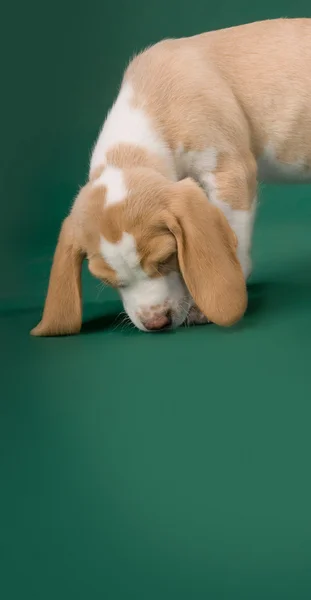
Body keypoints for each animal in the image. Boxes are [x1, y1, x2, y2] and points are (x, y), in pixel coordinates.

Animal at [31, 18, 311, 336]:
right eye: (107, 280)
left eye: (166, 258)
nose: (156, 322)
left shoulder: (228, 173)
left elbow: (233, 237)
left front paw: (207, 304)